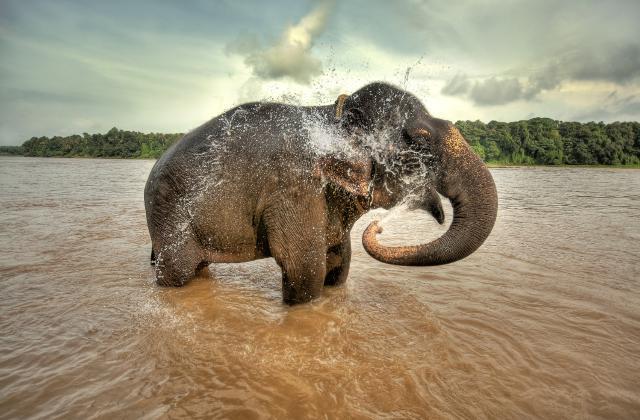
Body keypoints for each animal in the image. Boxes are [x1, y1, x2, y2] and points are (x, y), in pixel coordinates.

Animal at [146, 82, 500, 304]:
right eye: (420, 140)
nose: (380, 227)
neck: (332, 113)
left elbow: (339, 265)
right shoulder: (294, 185)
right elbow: (305, 269)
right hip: (169, 215)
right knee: (178, 272)